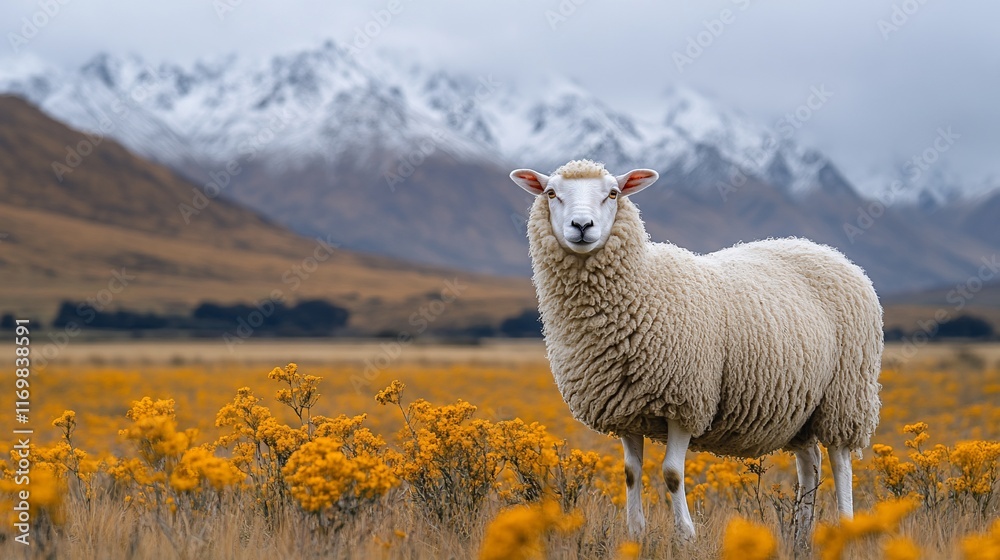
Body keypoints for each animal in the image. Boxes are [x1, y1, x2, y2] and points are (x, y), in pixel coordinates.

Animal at [508, 159, 882, 544]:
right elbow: (630, 472)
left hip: (846, 392)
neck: (641, 286)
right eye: (551, 193)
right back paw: (800, 535)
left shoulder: (686, 401)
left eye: (613, 193)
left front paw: (686, 535)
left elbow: (672, 473)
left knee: (839, 459)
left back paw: (845, 526)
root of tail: (825, 250)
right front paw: (636, 534)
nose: (582, 226)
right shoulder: (624, 407)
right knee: (810, 463)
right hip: (802, 408)